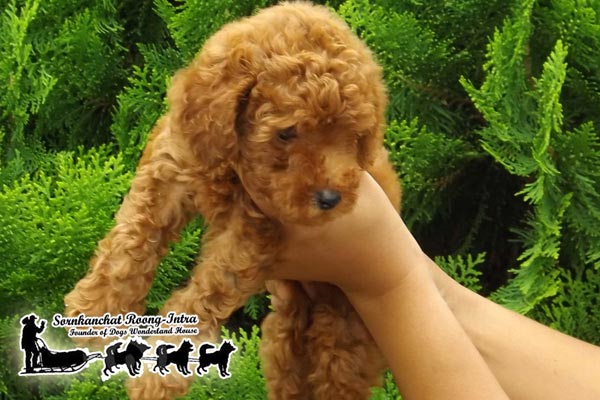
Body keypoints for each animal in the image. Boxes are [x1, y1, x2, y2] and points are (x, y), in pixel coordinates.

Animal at [65, 2, 401, 399]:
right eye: (286, 133)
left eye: (353, 136)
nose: (331, 198)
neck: (233, 167)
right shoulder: (171, 166)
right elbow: (131, 240)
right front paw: (96, 309)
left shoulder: (254, 230)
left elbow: (208, 289)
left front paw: (163, 369)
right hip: (286, 333)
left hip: (344, 329)